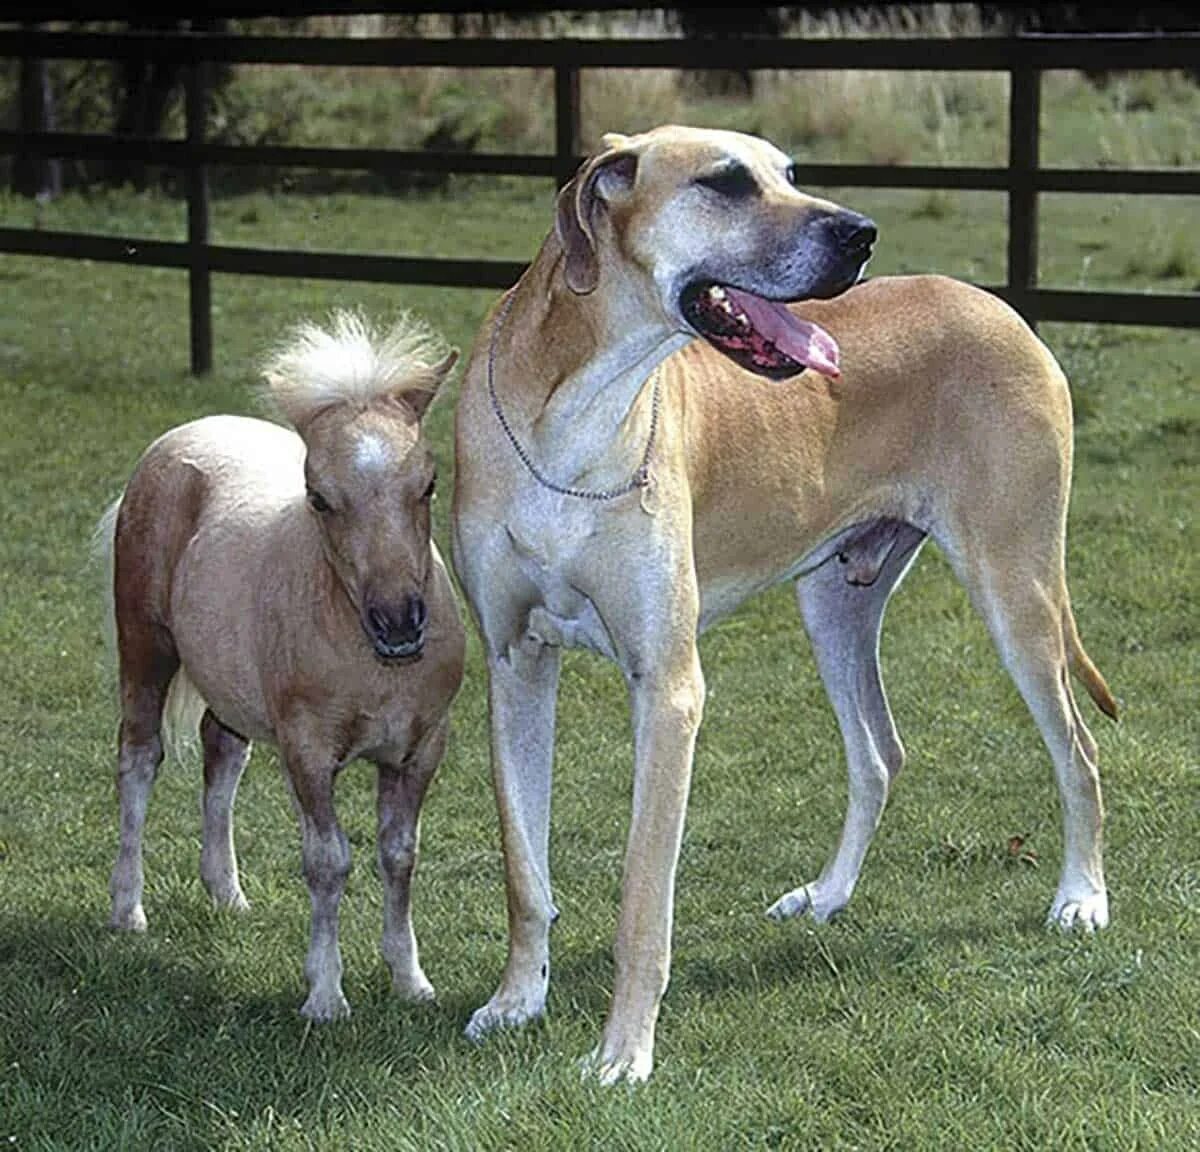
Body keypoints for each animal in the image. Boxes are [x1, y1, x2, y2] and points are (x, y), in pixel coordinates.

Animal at [99, 312, 463, 1017]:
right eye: (318, 497)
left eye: (429, 483)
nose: (399, 622)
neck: (373, 667)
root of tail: (182, 437)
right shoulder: (308, 751)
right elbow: (328, 861)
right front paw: (325, 995)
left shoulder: (418, 750)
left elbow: (399, 856)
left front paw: (411, 981)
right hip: (146, 650)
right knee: (140, 759)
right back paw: (127, 911)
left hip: (226, 686)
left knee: (222, 754)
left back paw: (227, 894)